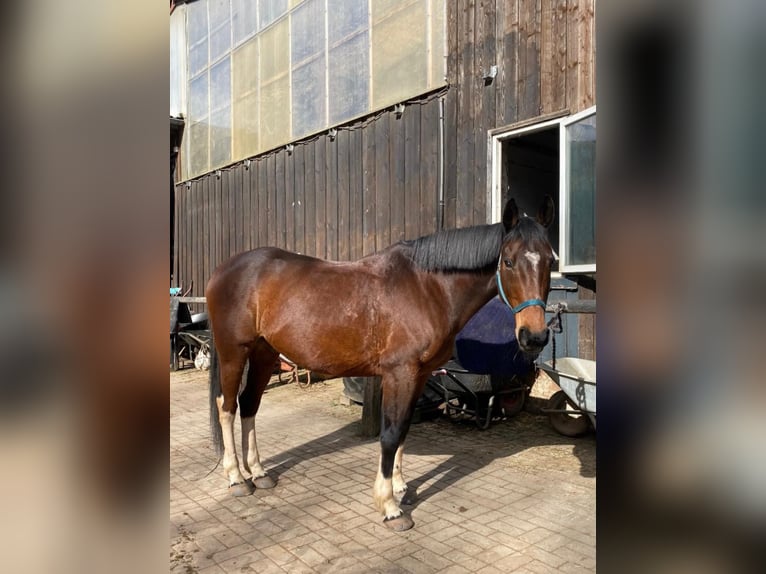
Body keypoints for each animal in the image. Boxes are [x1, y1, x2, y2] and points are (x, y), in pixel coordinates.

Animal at [205, 196, 555, 531]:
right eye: (508, 261)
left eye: (551, 261)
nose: (534, 337)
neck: (427, 288)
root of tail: (222, 270)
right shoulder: (400, 373)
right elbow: (390, 433)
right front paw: (390, 507)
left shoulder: (419, 375)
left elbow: (404, 428)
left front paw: (400, 487)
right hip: (234, 353)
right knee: (227, 406)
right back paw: (236, 477)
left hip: (264, 354)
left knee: (249, 404)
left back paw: (259, 472)